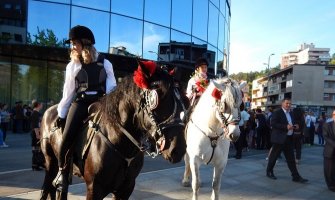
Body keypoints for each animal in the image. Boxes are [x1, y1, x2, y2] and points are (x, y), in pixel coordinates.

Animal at [40, 61, 186, 200]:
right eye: (157, 99)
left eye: (185, 100)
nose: (178, 149)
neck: (119, 141)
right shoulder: (94, 189)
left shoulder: (126, 188)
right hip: (50, 162)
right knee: (46, 188)